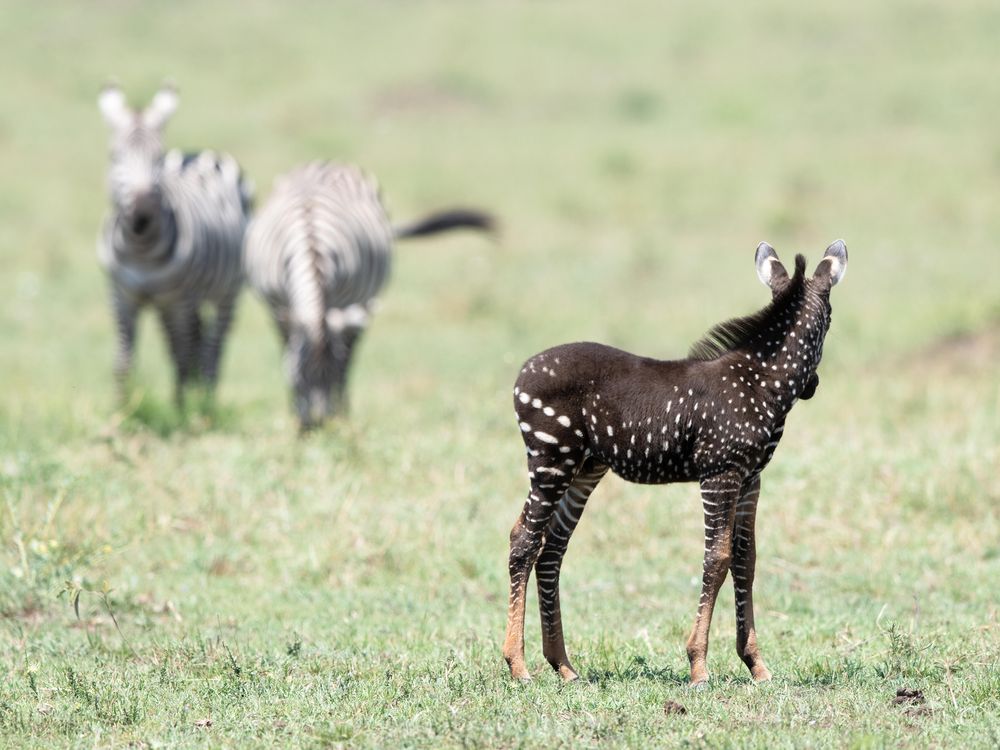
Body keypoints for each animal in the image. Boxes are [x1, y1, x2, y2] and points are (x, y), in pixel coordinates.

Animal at [96, 85, 254, 408]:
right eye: (115, 156)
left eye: (157, 157)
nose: (142, 214)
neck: (140, 249)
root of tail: (200, 152)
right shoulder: (121, 295)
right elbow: (123, 360)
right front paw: (121, 409)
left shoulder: (179, 299)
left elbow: (182, 355)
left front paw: (181, 410)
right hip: (171, 302)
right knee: (191, 341)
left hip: (226, 291)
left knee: (212, 346)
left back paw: (206, 396)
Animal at [242, 162, 492, 432]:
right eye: (299, 378)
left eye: (332, 378)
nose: (319, 426)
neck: (311, 247)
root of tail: (329, 164)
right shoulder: (278, 306)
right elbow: (287, 351)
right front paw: (295, 412)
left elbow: (343, 362)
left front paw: (338, 412)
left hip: (366, 300)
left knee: (352, 351)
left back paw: (344, 409)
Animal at [504, 241, 848, 688]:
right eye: (830, 320)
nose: (814, 387)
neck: (760, 383)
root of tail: (523, 372)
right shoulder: (720, 473)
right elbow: (717, 558)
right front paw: (698, 665)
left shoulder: (751, 478)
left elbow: (746, 559)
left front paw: (755, 664)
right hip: (550, 460)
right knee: (523, 541)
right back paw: (518, 665)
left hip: (584, 469)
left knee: (551, 550)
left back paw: (563, 665)